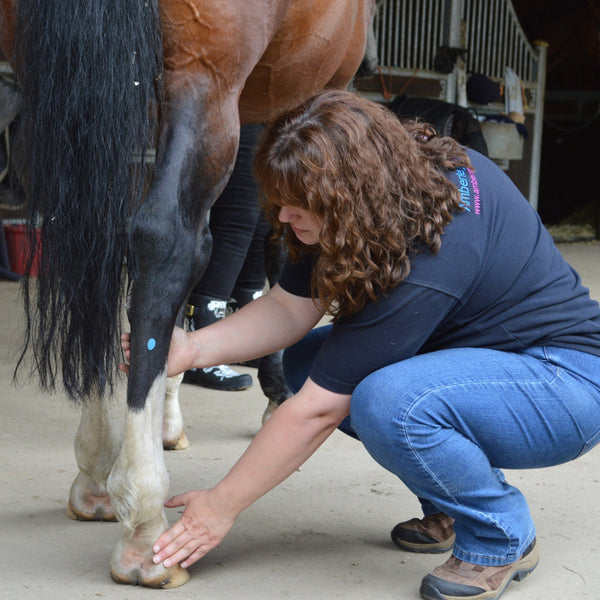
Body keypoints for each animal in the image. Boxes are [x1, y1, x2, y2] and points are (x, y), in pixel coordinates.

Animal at [0, 0, 376, 588]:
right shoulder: (294, 94)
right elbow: (274, 244)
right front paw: (276, 391)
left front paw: (169, 412)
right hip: (205, 80)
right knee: (167, 240)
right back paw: (144, 525)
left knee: (92, 239)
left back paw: (97, 475)